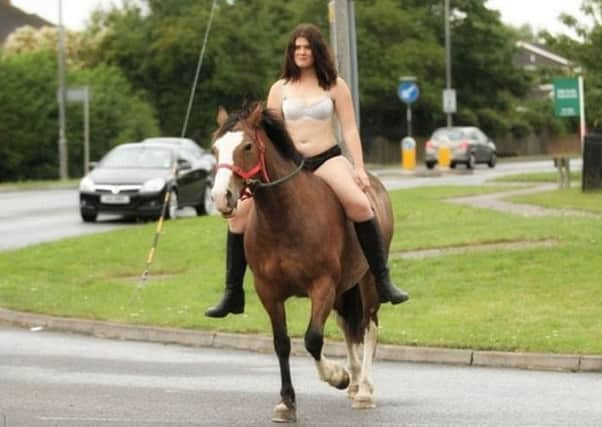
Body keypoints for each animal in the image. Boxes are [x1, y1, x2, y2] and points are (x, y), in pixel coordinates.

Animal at [210, 103, 394, 424]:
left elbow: (312, 339)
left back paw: (363, 390)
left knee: (369, 326)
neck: (283, 217)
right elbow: (282, 344)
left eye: (247, 146)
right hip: (346, 289)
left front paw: (337, 376)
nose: (221, 197)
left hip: (368, 282)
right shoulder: (269, 293)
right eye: (215, 148)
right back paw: (355, 382)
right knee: (349, 327)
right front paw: (287, 402)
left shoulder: (322, 287)